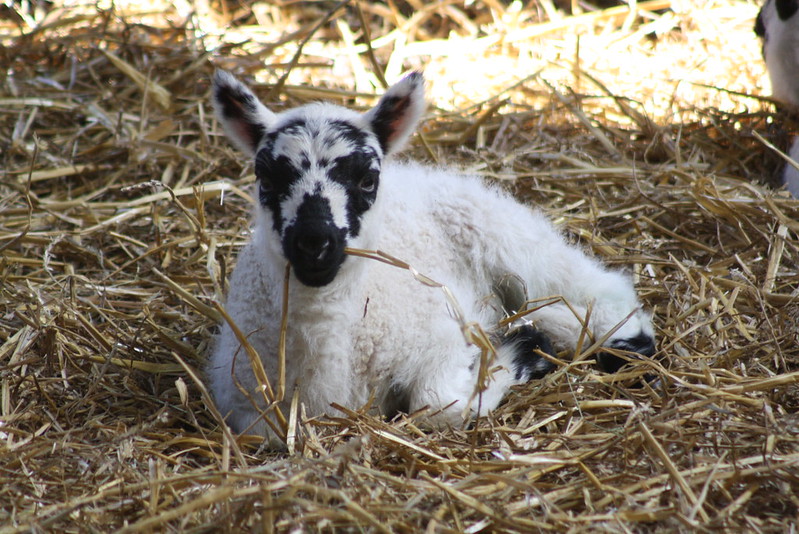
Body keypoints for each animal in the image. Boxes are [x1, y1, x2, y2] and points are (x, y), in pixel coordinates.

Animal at [207, 70, 656, 444]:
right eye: (266, 179)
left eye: (367, 180)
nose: (314, 243)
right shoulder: (245, 398)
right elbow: (262, 430)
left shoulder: (442, 336)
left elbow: (438, 403)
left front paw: (520, 352)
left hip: (504, 234)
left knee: (602, 290)